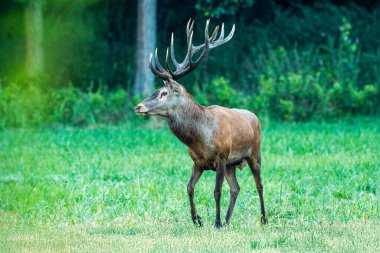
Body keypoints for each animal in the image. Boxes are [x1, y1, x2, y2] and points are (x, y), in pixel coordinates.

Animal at [134, 18, 268, 227]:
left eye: (163, 93)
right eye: (155, 91)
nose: (138, 106)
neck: (200, 139)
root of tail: (255, 117)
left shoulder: (221, 158)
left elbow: (216, 191)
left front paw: (216, 222)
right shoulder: (198, 162)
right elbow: (189, 187)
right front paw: (197, 219)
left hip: (254, 153)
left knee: (259, 185)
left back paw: (262, 219)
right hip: (232, 164)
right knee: (236, 188)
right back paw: (229, 220)